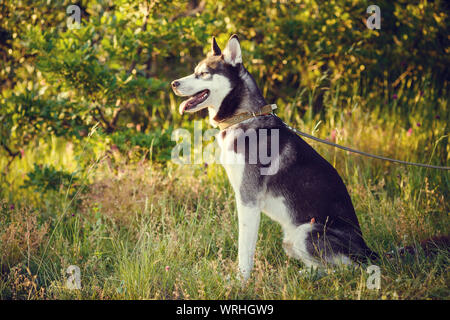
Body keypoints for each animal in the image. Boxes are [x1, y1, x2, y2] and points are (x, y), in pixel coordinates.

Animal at [171, 34, 378, 280]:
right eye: (194, 71)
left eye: (203, 73)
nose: (174, 84)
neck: (244, 117)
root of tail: (367, 250)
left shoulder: (248, 199)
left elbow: (245, 249)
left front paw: (241, 281)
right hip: (291, 240)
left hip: (306, 232)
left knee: (346, 270)